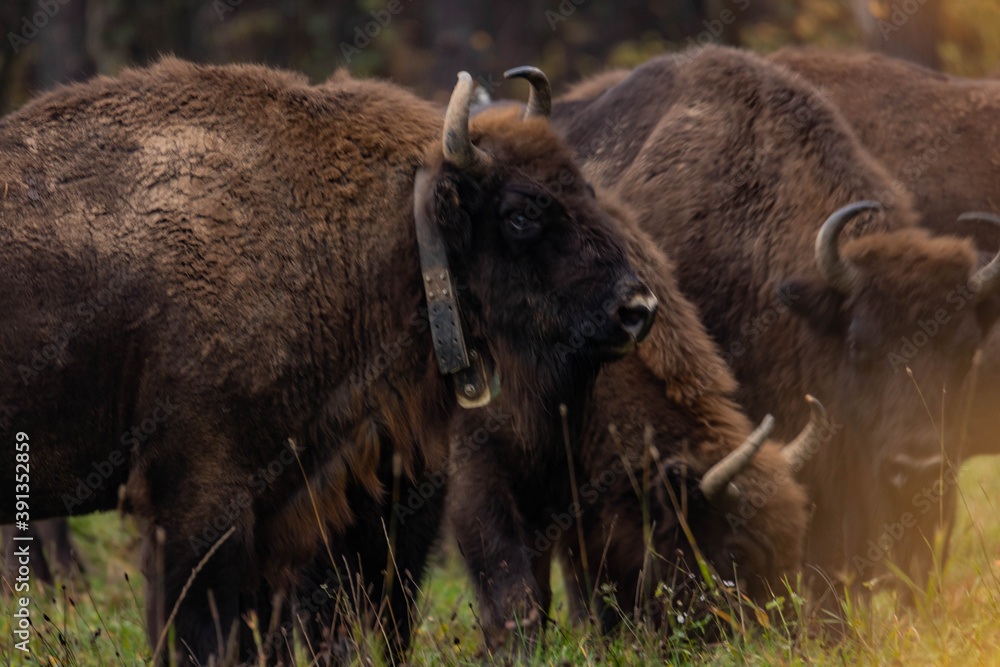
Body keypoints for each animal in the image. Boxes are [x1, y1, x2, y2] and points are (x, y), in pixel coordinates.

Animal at [0, 59, 655, 664]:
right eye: (521, 213)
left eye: (583, 188)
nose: (637, 308)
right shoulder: (198, 498)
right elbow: (203, 632)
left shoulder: (284, 501)